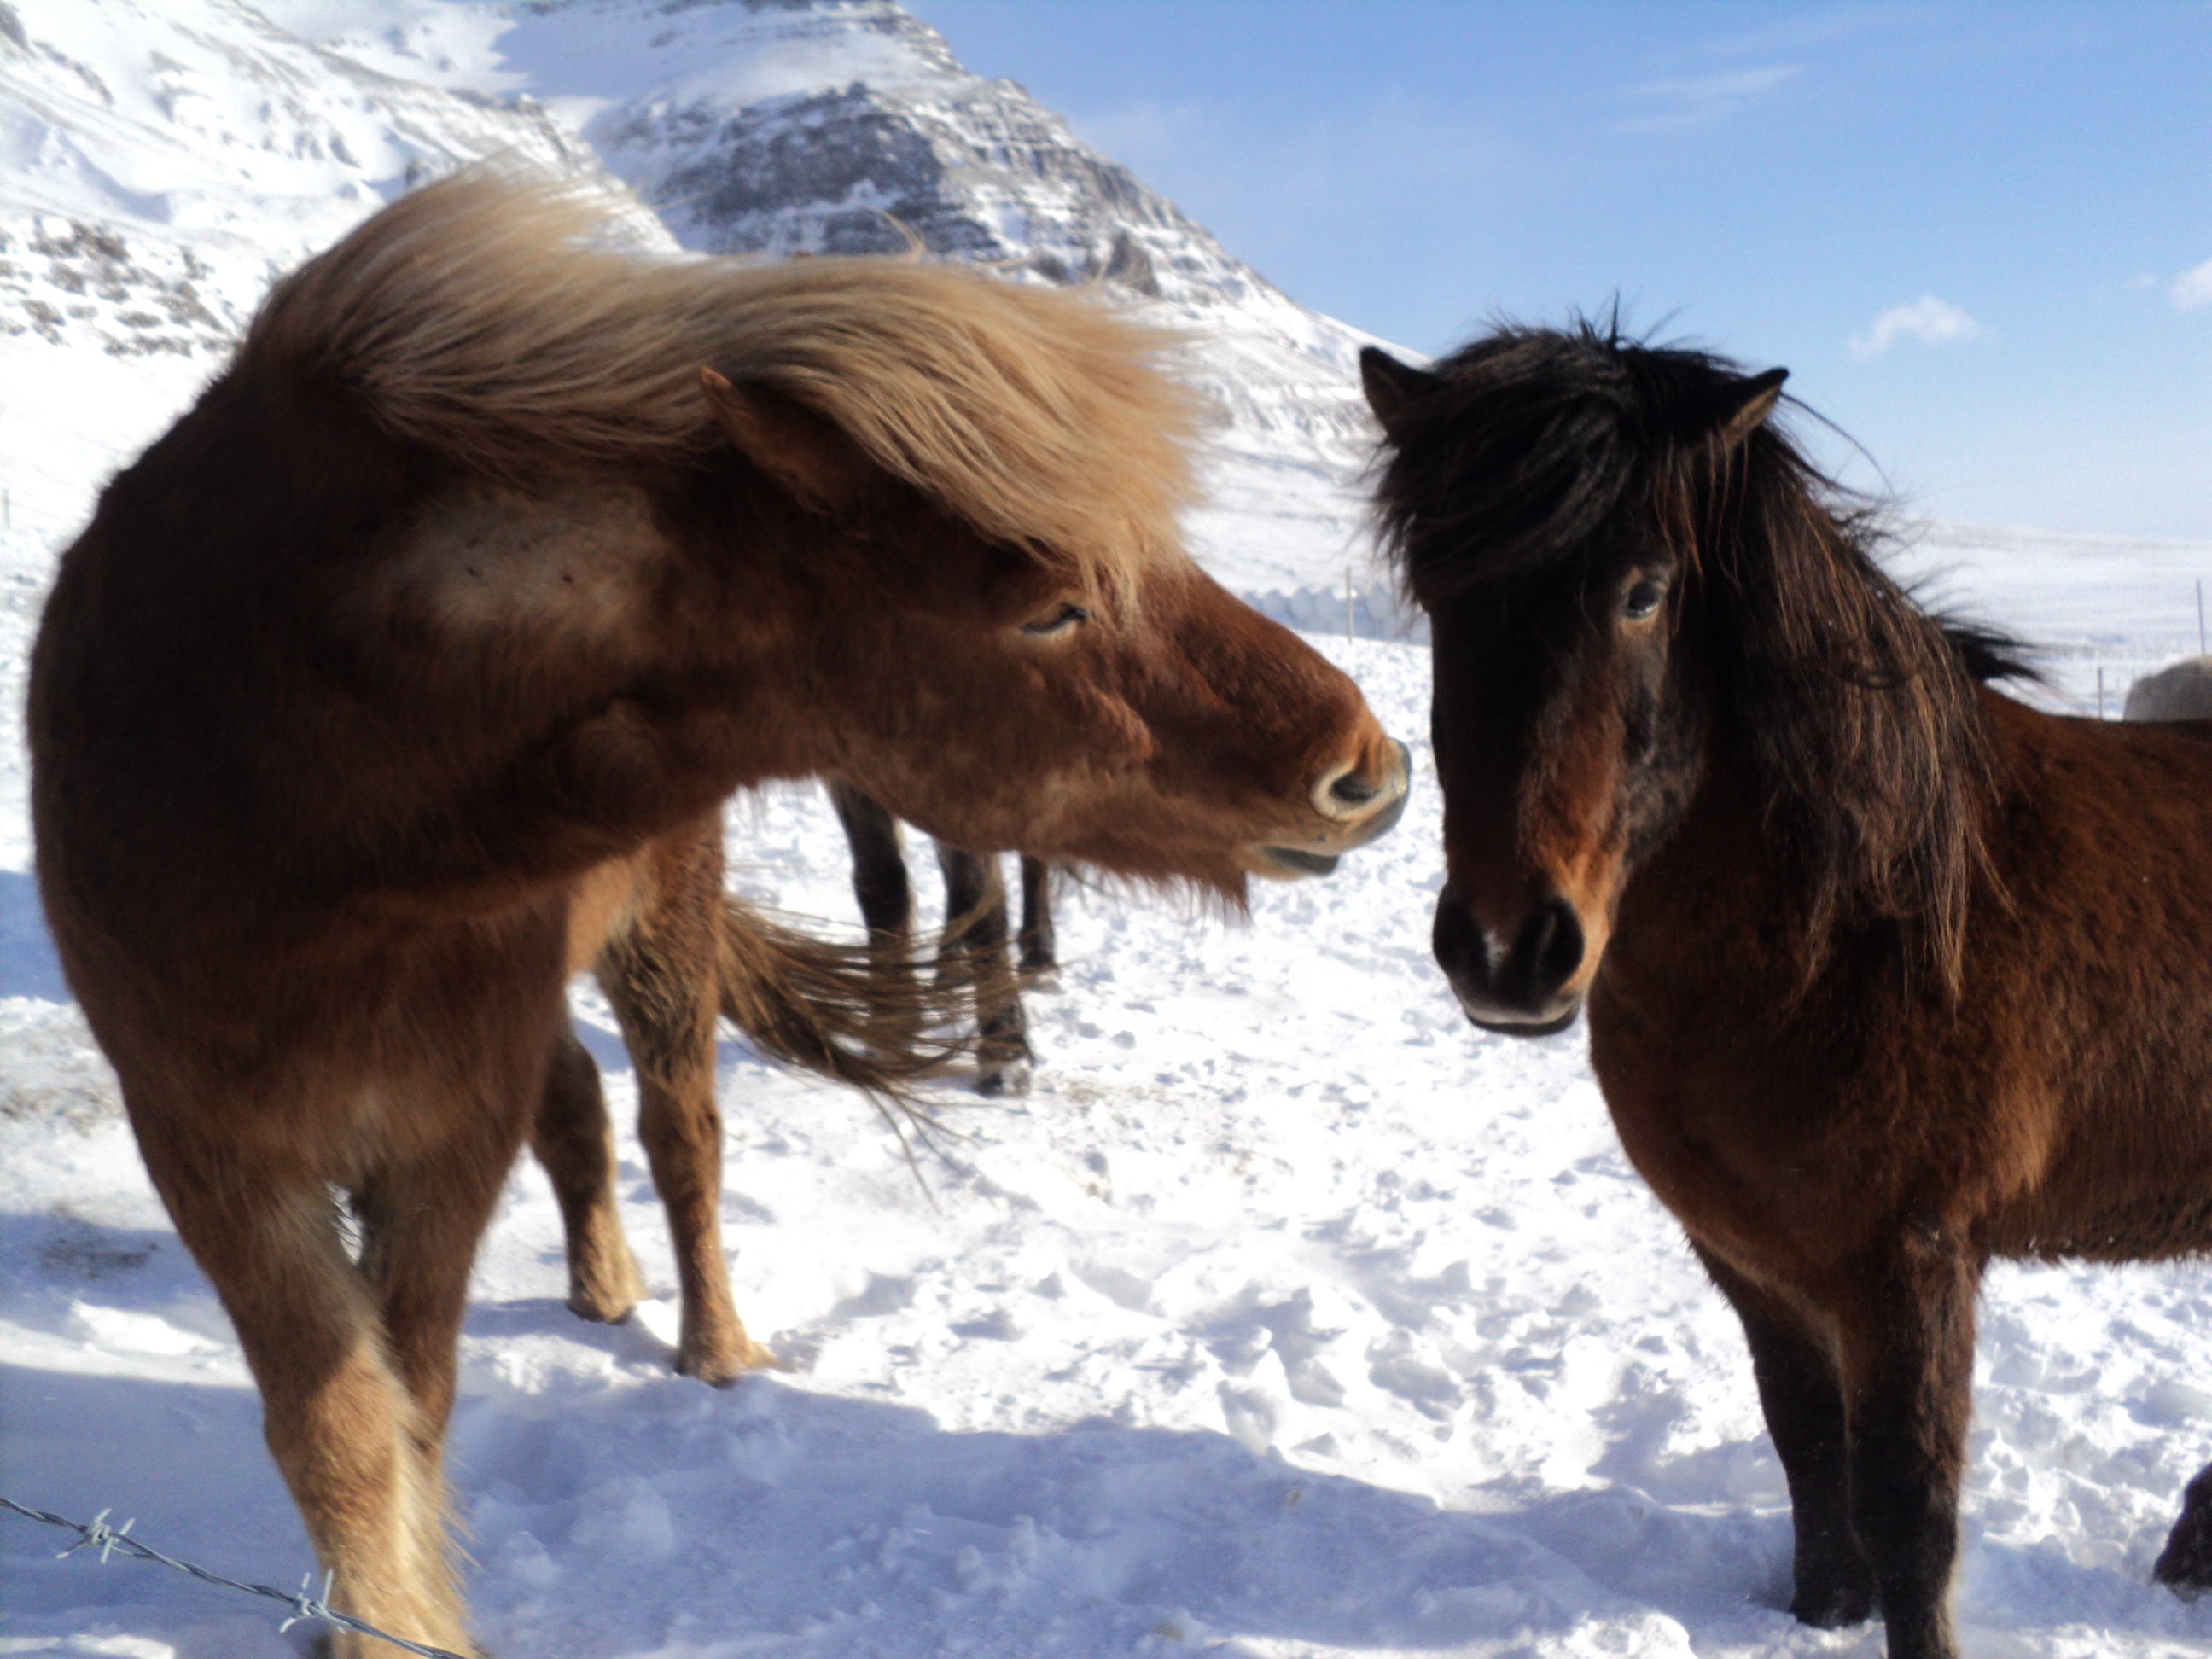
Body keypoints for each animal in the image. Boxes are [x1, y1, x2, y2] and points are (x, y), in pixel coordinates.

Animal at [26, 172, 1406, 1659]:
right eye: (1051, 609)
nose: (1369, 769)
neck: (289, 789)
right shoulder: (210, 1144)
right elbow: (332, 1425)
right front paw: (378, 1614)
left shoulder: (444, 1132)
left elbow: (412, 1393)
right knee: (584, 1114)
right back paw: (606, 1282)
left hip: (659, 941)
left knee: (678, 1138)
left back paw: (711, 1343)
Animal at [1353, 325, 2212, 1659]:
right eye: (1440, 598)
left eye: (1644, 592)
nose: (1507, 949)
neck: (1849, 930)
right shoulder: (1753, 1259)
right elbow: (1811, 1458)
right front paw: (1820, 1620)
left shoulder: (1909, 1266)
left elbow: (1908, 1515)